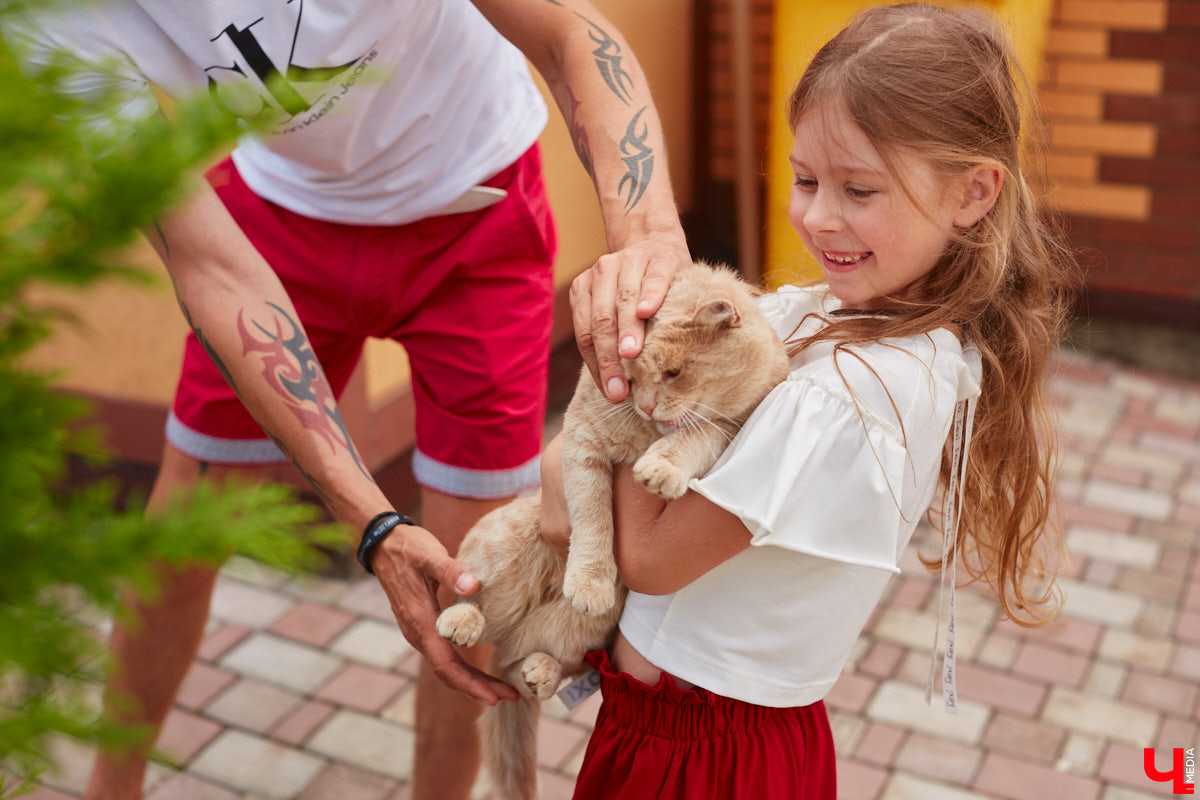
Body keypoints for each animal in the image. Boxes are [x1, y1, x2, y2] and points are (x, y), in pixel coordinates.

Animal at [432, 262, 787, 800]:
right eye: (628, 378)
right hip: (505, 555)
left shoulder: (728, 429)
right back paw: (462, 622)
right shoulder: (583, 446)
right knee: (474, 604)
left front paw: (662, 467)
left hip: (582, 632)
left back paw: (539, 672)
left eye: (673, 373)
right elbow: (594, 517)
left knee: (527, 667)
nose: (646, 407)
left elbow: (695, 434)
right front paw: (590, 581)